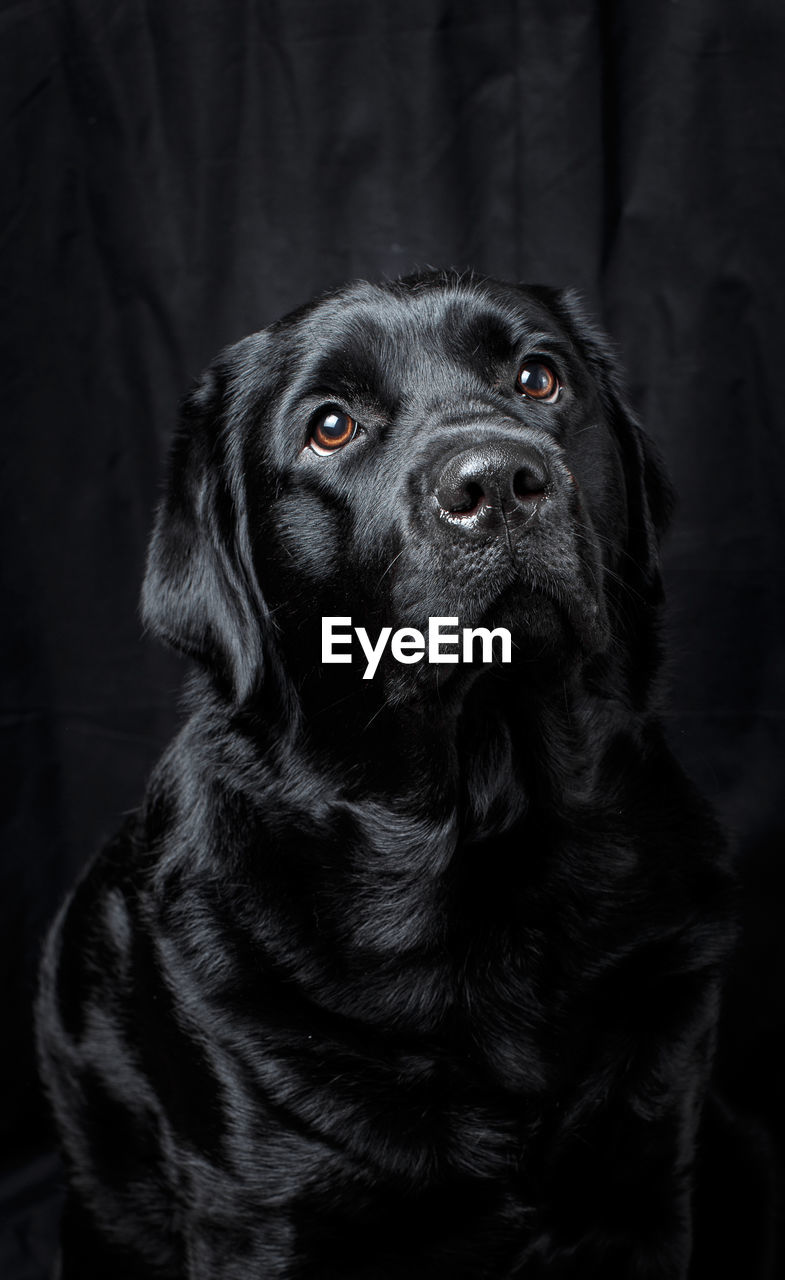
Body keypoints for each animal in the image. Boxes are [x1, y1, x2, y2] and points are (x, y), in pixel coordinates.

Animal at [36, 267, 732, 1269]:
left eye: (538, 378)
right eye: (331, 426)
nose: (498, 481)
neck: (489, 842)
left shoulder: (648, 1176)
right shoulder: (259, 1214)